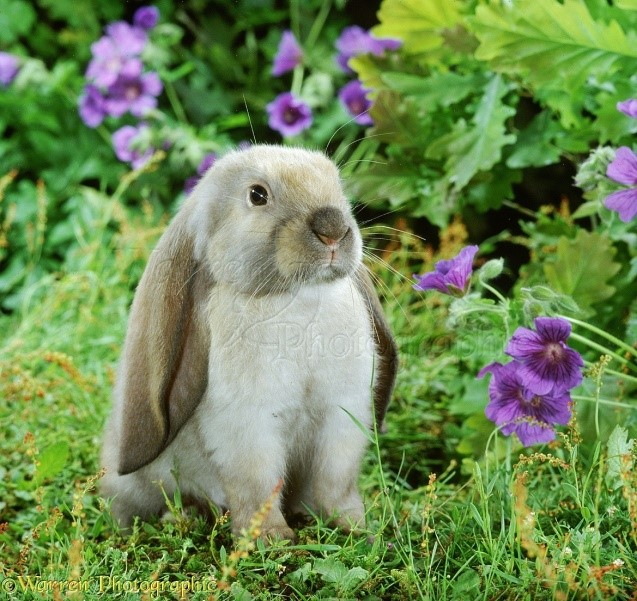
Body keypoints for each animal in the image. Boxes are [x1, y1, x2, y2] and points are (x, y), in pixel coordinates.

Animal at [99, 144, 396, 540]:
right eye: (257, 195)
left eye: (337, 186)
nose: (333, 229)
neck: (297, 297)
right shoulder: (248, 427)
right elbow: (258, 487)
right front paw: (271, 539)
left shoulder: (342, 416)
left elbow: (335, 482)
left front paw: (354, 527)